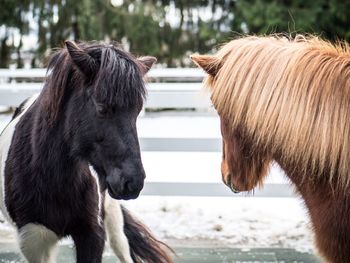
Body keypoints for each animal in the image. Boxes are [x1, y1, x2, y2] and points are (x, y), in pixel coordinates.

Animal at [0, 40, 172, 263]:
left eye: (137, 110)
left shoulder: (92, 235)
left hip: (113, 222)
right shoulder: (34, 239)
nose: (132, 182)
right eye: (101, 108)